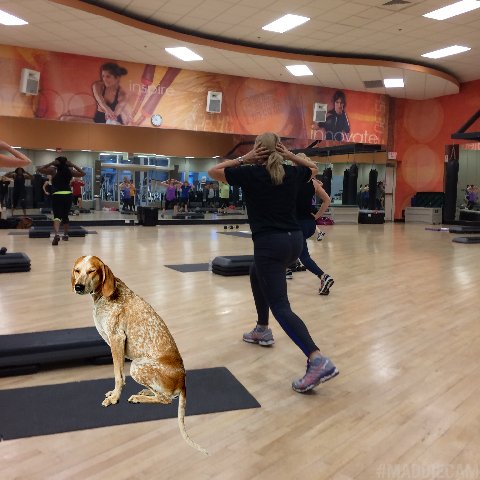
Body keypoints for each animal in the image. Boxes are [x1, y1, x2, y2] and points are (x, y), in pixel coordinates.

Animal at [71, 255, 207, 455]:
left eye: (92, 271)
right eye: (77, 270)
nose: (78, 287)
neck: (103, 296)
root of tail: (183, 382)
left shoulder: (117, 339)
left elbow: (118, 376)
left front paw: (114, 398)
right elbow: (119, 377)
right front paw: (114, 393)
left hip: (137, 366)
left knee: (166, 399)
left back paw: (139, 397)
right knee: (162, 394)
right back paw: (145, 391)